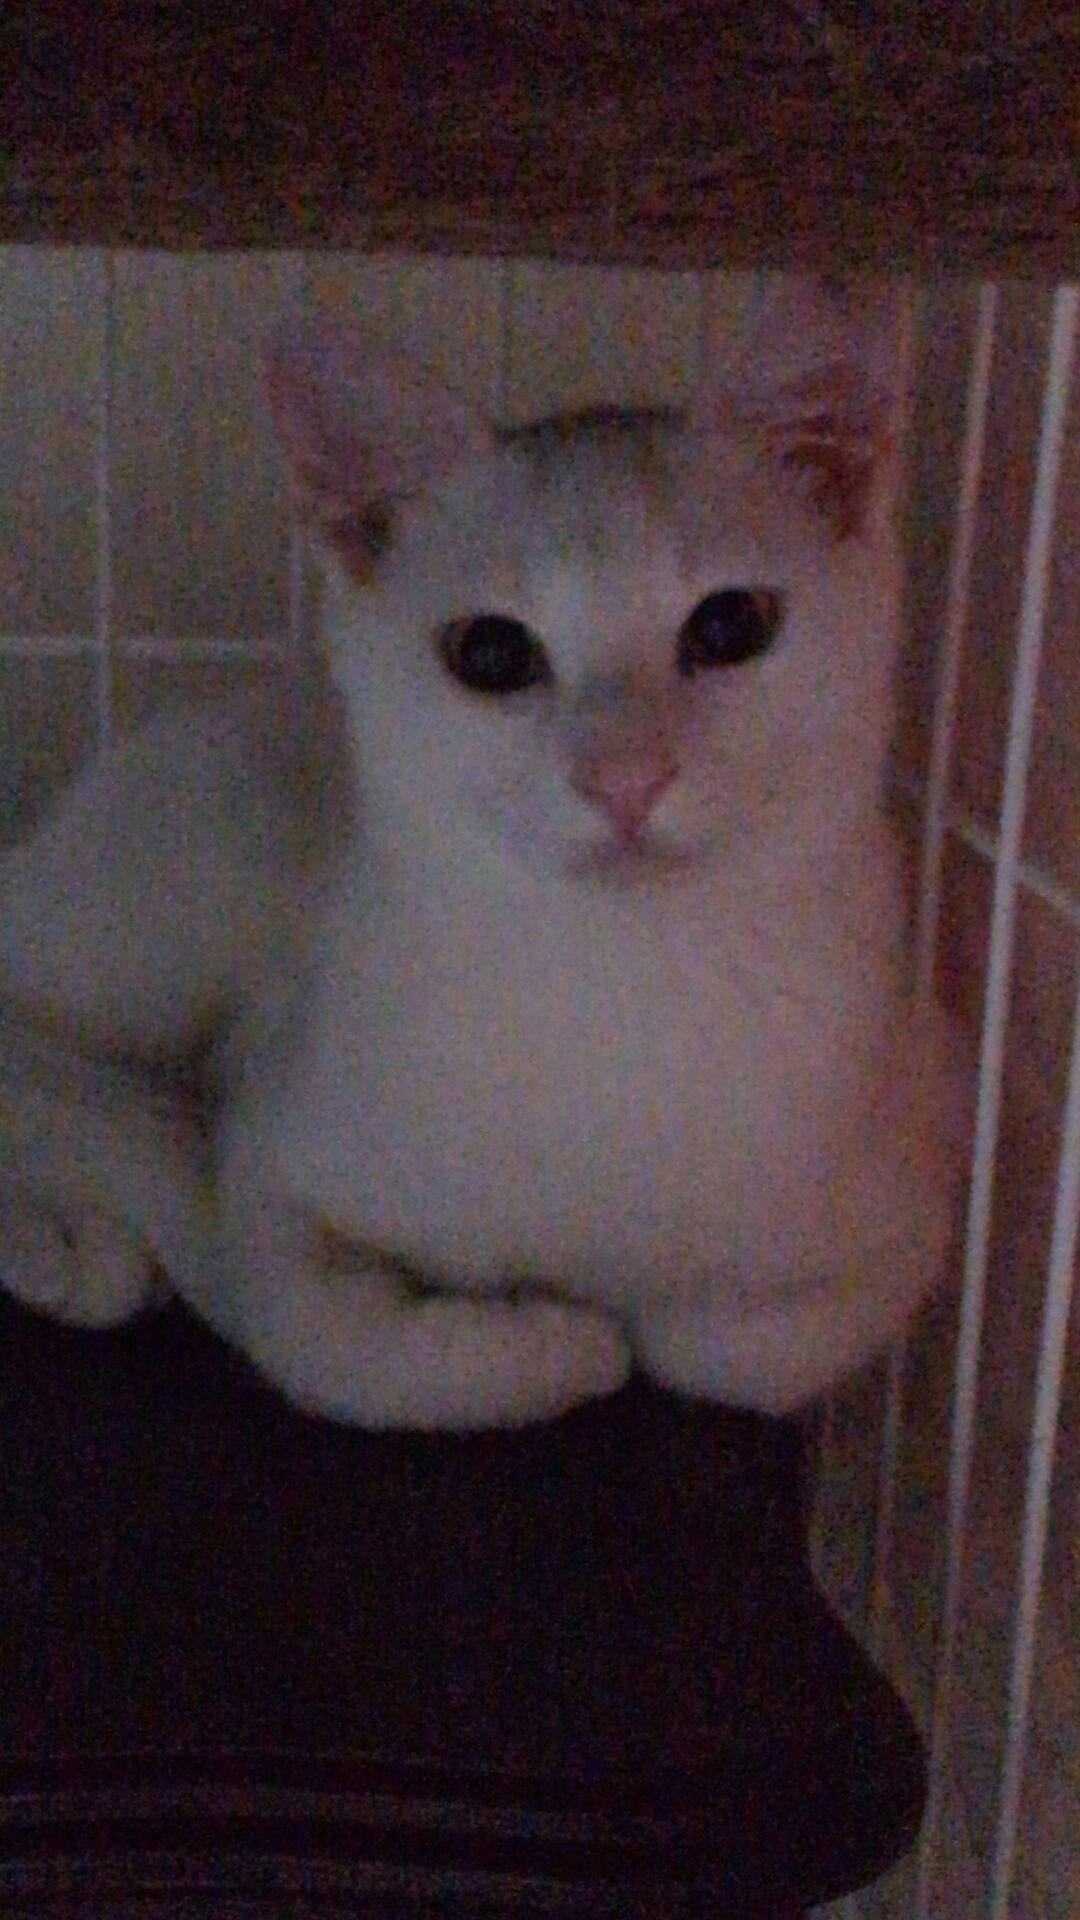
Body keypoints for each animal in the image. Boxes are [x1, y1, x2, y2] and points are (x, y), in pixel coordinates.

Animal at [0, 275, 965, 1429]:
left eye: (732, 625)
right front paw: (553, 1337)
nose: (625, 777)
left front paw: (638, 1316)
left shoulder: (920, 1164)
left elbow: (733, 1348)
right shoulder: (271, 1180)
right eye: (492, 652)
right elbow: (332, 1341)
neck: (618, 992)